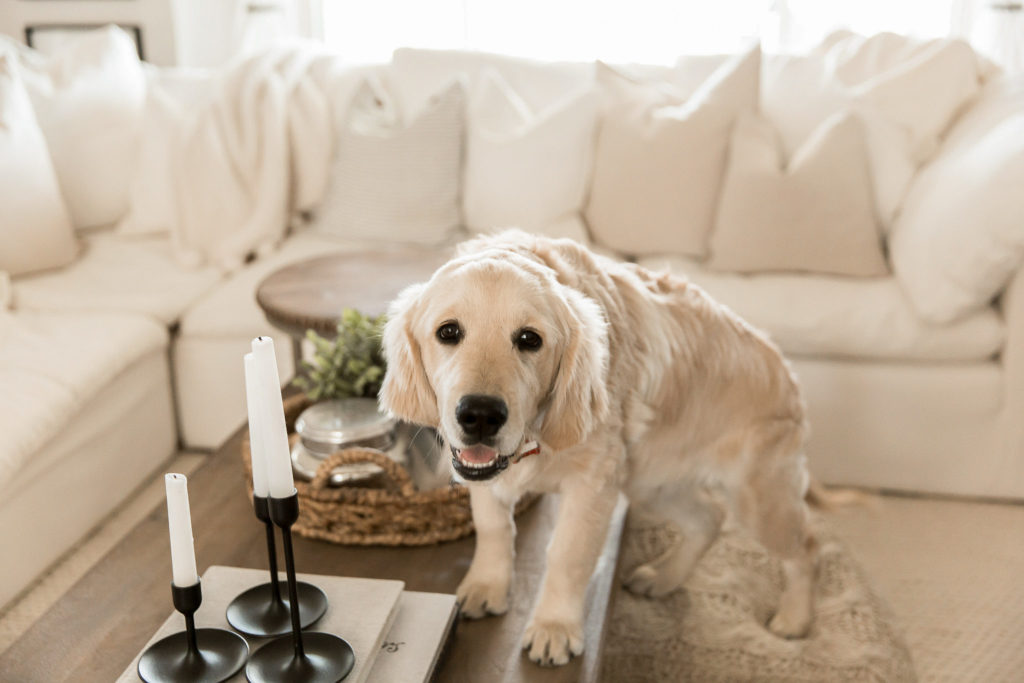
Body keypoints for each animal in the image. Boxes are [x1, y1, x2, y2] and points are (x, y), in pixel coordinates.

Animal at [380, 232, 819, 663]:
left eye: (529, 339)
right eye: (448, 332)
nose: (481, 416)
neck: (535, 435)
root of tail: (789, 374)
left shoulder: (594, 484)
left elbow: (568, 554)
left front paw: (555, 627)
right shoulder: (487, 476)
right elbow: (493, 528)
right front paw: (488, 586)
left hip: (758, 500)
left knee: (806, 547)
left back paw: (794, 619)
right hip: (653, 483)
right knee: (710, 518)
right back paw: (663, 578)